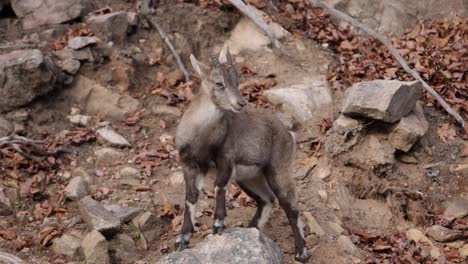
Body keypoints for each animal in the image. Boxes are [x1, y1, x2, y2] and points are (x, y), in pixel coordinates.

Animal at [174, 46, 308, 260]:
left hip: (278, 170)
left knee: (291, 206)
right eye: (219, 83)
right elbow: (190, 198)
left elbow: (219, 186)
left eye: (237, 81)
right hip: (249, 177)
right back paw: (251, 228)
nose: (241, 103)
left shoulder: (225, 159)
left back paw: (301, 252)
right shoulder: (190, 166)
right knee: (267, 199)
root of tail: (289, 134)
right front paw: (183, 238)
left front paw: (218, 223)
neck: (201, 137)